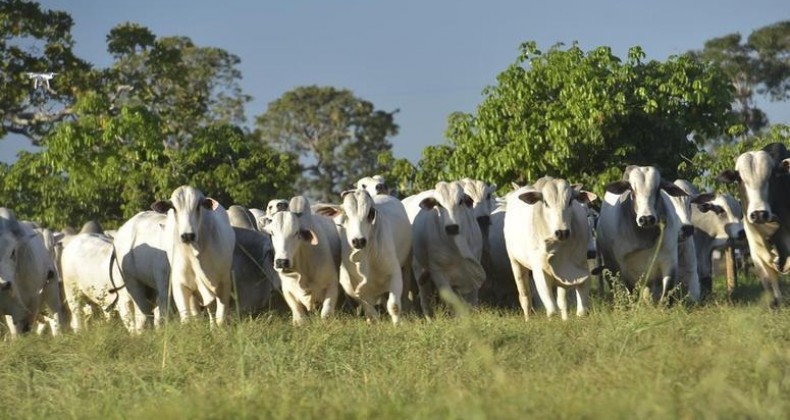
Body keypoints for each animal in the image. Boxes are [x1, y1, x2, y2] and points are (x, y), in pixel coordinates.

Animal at [152, 185, 237, 326]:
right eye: (174, 208)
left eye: (198, 206)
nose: (187, 235)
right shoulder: (180, 285)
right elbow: (187, 319)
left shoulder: (224, 282)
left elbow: (220, 318)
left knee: (211, 311)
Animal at [316, 190, 414, 324]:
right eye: (345, 215)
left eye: (370, 214)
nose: (358, 241)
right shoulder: (352, 288)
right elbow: (370, 311)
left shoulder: (394, 273)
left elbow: (394, 306)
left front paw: (397, 324)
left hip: (406, 266)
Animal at [412, 179, 486, 316]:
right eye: (438, 204)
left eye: (461, 201)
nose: (452, 227)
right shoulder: (438, 272)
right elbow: (453, 302)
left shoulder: (474, 270)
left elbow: (472, 301)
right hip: (419, 270)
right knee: (425, 300)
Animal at [504, 176, 596, 318]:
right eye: (546, 203)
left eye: (570, 201)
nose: (562, 232)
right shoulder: (540, 272)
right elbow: (552, 310)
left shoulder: (579, 272)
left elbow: (578, 309)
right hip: (515, 262)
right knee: (525, 298)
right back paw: (527, 319)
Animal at [596, 166, 688, 300]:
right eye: (631, 190)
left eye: (658, 189)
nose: (647, 219)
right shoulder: (626, 270)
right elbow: (632, 294)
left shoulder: (670, 262)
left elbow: (666, 295)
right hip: (610, 266)